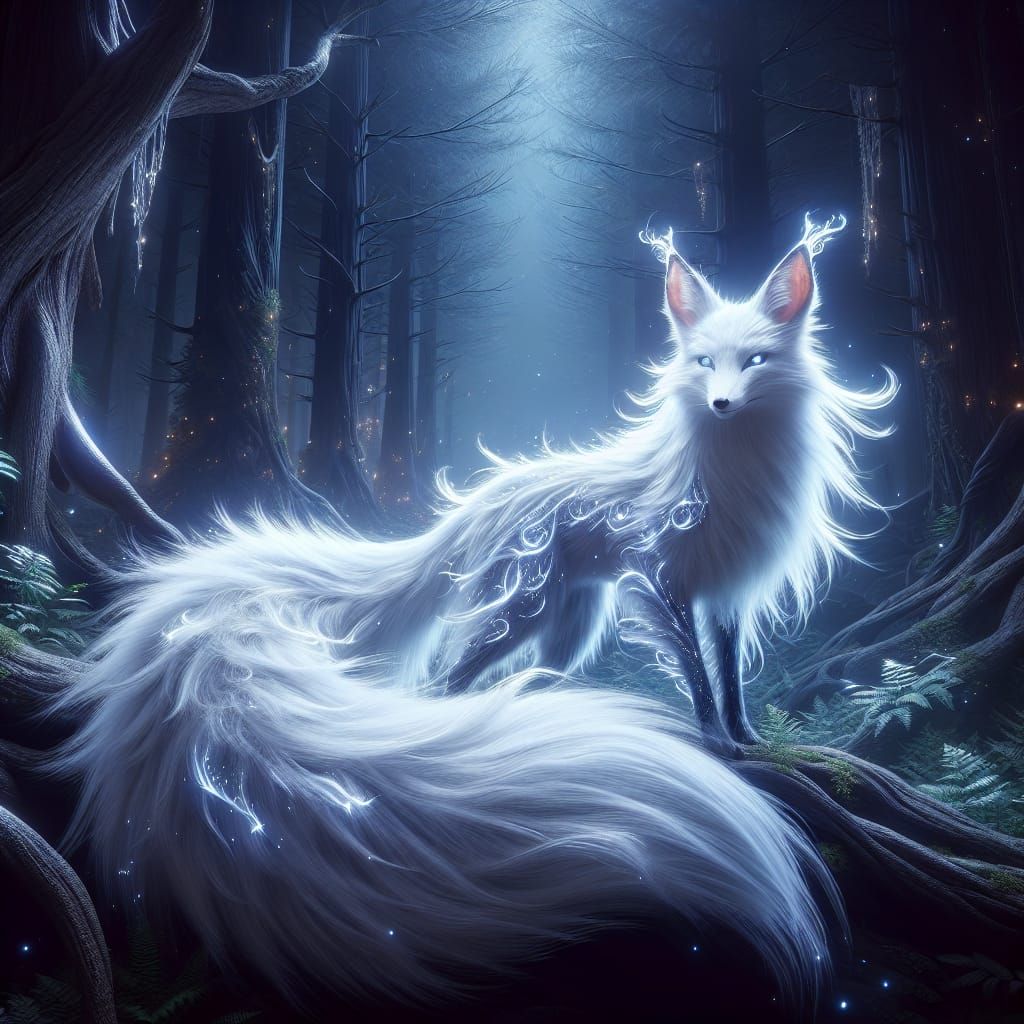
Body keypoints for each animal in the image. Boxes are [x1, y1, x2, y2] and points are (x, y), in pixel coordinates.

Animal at [50, 216, 895, 1008]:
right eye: (701, 363)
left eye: (755, 362)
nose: (719, 403)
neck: (732, 471)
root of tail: (485, 500)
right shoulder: (663, 580)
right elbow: (691, 673)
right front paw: (716, 744)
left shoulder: (726, 595)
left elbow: (728, 675)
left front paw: (747, 741)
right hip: (518, 615)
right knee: (446, 681)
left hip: (569, 628)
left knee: (528, 676)